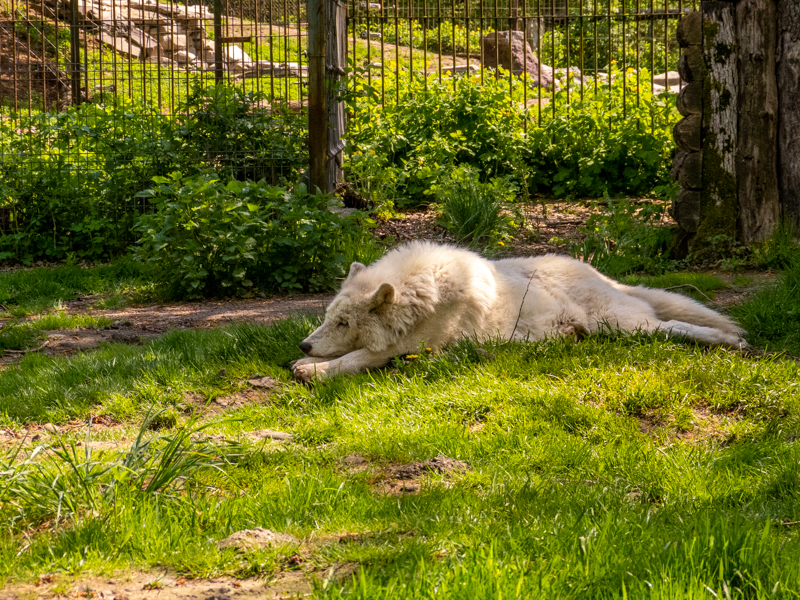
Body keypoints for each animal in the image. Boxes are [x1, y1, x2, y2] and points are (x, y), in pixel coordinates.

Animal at [291, 241, 745, 381]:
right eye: (327, 318)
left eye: (344, 323)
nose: (304, 345)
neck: (424, 287)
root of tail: (606, 276)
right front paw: (306, 362)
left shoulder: (414, 346)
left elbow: (359, 357)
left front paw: (312, 370)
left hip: (622, 323)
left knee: (672, 326)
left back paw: (729, 341)